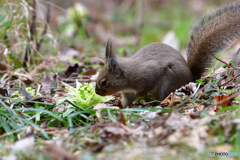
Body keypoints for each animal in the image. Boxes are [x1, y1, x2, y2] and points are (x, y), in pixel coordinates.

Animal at [95, 2, 240, 107]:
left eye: (104, 82)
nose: (97, 92)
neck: (127, 76)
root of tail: (191, 77)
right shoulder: (127, 93)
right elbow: (127, 101)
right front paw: (122, 106)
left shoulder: (147, 74)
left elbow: (145, 87)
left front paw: (139, 98)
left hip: (169, 80)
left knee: (163, 97)